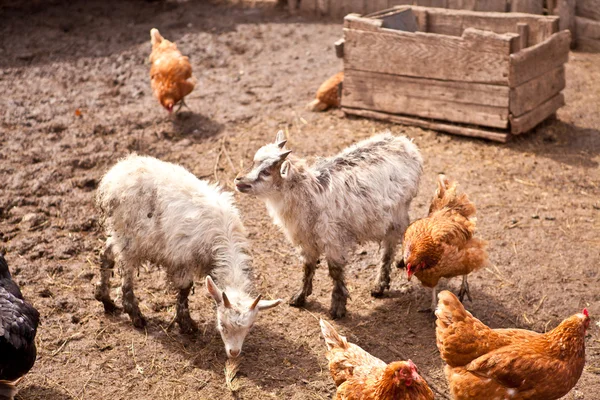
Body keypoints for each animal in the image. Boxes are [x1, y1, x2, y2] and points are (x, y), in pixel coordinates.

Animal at [95, 155, 282, 358]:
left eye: (249, 327)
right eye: (222, 324)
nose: (234, 352)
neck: (223, 238)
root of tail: (114, 175)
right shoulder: (181, 260)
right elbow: (185, 289)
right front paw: (186, 324)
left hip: (118, 232)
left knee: (105, 254)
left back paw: (105, 299)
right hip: (129, 237)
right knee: (126, 273)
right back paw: (135, 315)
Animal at [234, 131, 422, 318]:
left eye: (266, 171)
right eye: (253, 163)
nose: (238, 180)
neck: (307, 193)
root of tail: (405, 142)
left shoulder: (332, 239)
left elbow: (335, 271)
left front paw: (338, 307)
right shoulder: (306, 240)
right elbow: (307, 267)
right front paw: (299, 297)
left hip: (397, 213)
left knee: (390, 246)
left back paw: (381, 284)